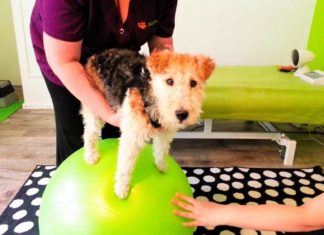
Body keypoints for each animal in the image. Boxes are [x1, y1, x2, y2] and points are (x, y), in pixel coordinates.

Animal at [81, 48, 215, 199]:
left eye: (193, 83)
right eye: (169, 81)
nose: (182, 114)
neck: (153, 99)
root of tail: (97, 56)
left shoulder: (165, 132)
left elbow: (161, 150)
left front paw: (161, 166)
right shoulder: (132, 137)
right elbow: (125, 166)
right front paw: (121, 190)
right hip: (94, 106)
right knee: (89, 133)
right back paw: (91, 156)